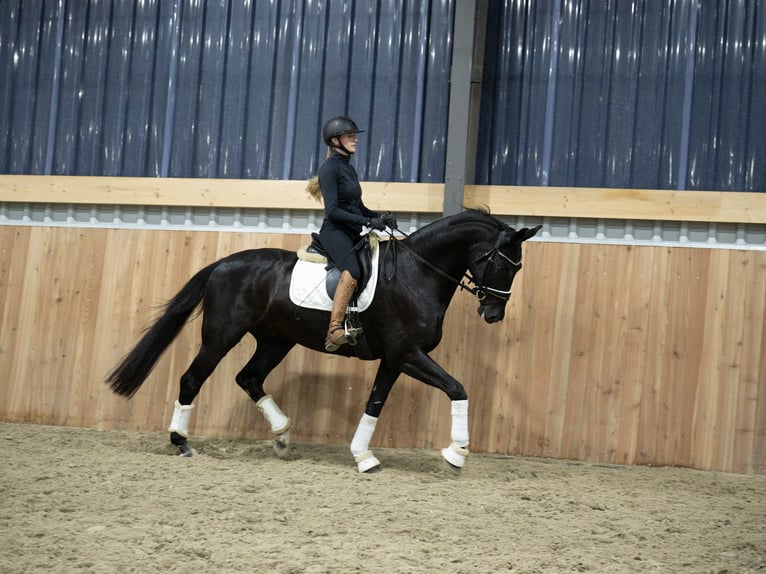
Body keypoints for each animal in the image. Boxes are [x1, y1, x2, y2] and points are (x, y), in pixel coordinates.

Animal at [105, 208, 541, 472]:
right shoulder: (408, 354)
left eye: (518, 268)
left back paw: (283, 435)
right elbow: (458, 388)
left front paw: (363, 456)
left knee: (249, 378)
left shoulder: (394, 359)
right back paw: (181, 441)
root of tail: (221, 265)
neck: (418, 274)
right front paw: (457, 453)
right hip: (221, 336)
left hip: (275, 340)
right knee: (192, 379)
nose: (493, 314)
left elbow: (374, 404)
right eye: (504, 263)